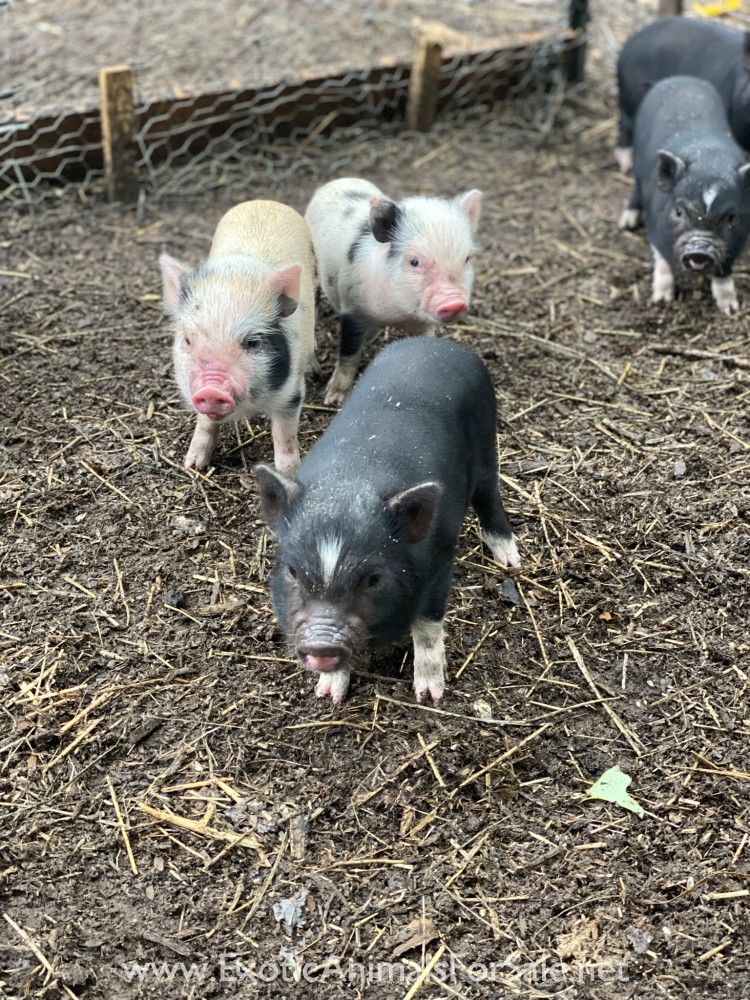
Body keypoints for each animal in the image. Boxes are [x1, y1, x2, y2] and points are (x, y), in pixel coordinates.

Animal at [159, 200, 316, 474]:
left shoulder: (292, 394)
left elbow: (284, 437)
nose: (211, 389)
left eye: (252, 343)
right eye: (188, 340)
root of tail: (265, 201)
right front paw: (192, 466)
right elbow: (205, 424)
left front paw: (290, 475)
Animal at [254, 336, 520, 706]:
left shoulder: (439, 564)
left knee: (490, 496)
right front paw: (327, 695)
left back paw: (510, 562)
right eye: (292, 572)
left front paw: (430, 696)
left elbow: (427, 630)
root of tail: (438, 343)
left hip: (487, 445)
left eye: (374, 578)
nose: (321, 644)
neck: (351, 484)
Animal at [304, 177, 482, 406]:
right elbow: (349, 355)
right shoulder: (352, 306)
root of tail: (334, 182)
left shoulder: (423, 324)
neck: (397, 315)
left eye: (467, 259)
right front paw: (332, 399)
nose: (455, 301)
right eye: (414, 261)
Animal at [618, 76, 750, 315]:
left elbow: (724, 272)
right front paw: (662, 300)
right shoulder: (656, 226)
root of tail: (679, 78)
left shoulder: (737, 242)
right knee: (636, 189)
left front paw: (730, 309)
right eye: (679, 211)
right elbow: (662, 260)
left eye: (731, 217)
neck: (709, 162)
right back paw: (626, 223)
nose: (700, 250)